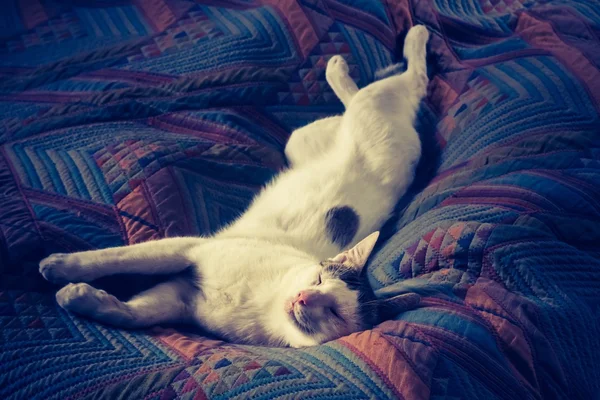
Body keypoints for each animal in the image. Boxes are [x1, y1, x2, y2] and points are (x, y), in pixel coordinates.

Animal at [38, 26, 432, 348]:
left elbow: (135, 314)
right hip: (307, 136)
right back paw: (362, 56)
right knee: (400, 85)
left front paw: (80, 297)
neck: (265, 307)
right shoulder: (189, 252)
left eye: (334, 312)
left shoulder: (178, 296)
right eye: (318, 279)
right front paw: (62, 268)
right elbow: (120, 258)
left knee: (412, 84)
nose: (303, 298)